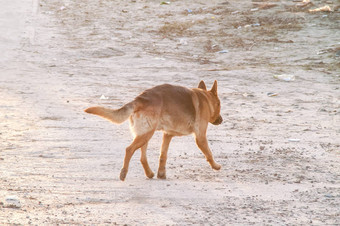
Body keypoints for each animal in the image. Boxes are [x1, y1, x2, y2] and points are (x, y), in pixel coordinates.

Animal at [85, 80, 223, 181]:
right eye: (219, 105)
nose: (221, 120)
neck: (206, 98)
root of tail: (139, 99)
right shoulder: (200, 137)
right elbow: (209, 153)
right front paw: (215, 166)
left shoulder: (167, 135)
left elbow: (163, 155)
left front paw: (161, 174)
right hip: (146, 134)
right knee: (129, 149)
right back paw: (124, 173)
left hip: (144, 134)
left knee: (142, 158)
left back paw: (149, 173)